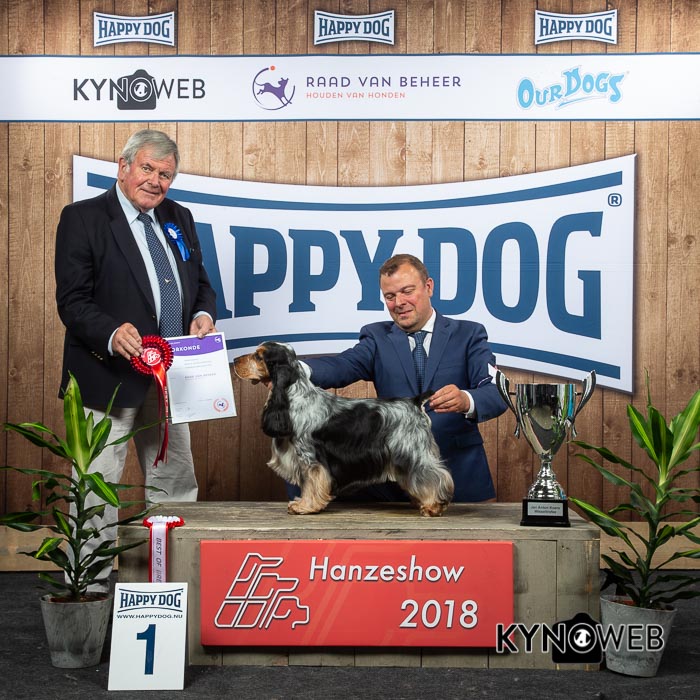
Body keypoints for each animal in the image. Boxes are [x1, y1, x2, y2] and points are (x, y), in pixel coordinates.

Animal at [233, 341, 454, 517]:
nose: (235, 360)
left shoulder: (310, 456)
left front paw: (305, 507)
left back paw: (433, 506)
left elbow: (311, 482)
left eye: (258, 356)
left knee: (433, 474)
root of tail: (415, 402)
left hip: (411, 450)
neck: (295, 395)